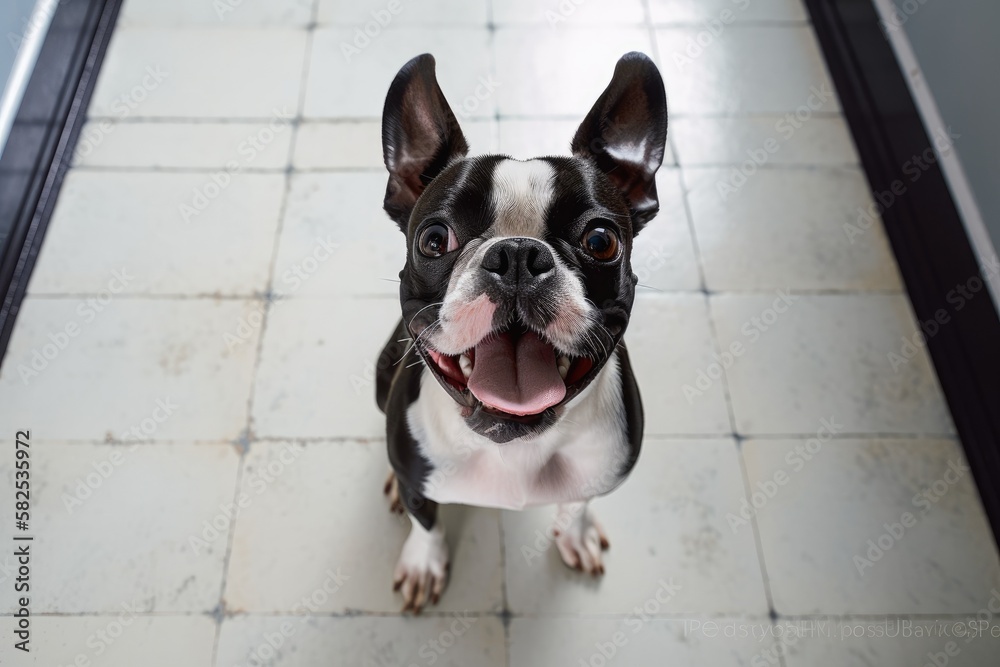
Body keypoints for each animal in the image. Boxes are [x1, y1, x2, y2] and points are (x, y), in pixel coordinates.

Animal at [374, 52, 664, 612]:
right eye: (434, 239)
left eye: (601, 241)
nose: (516, 255)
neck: (516, 449)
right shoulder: (421, 476)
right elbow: (426, 519)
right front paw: (423, 561)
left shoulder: (602, 466)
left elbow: (579, 501)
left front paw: (575, 532)